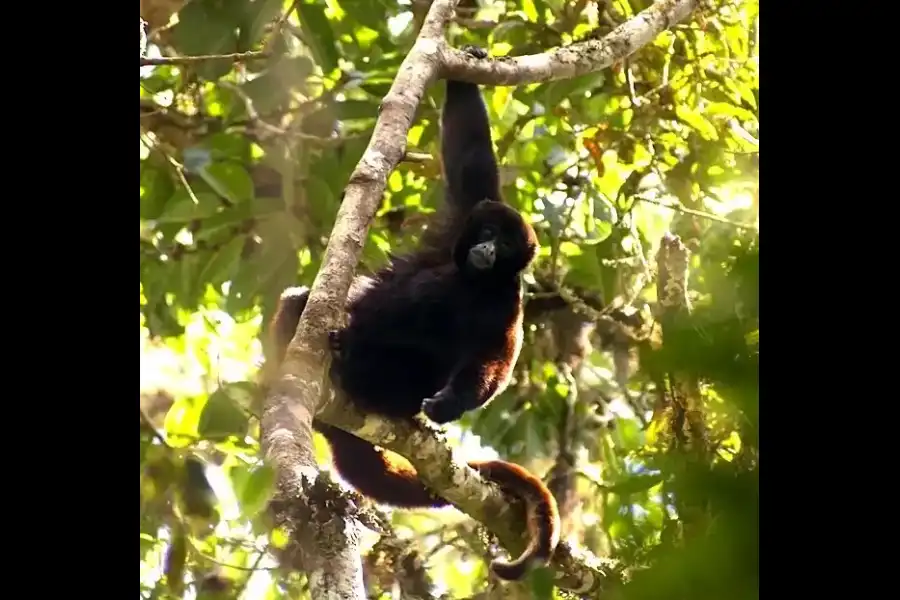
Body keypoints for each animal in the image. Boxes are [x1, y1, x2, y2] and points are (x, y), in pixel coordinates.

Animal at [268, 47, 560, 580]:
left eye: (507, 246)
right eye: (489, 232)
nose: (487, 248)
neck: (473, 279)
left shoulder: (507, 301)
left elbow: (495, 359)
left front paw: (449, 403)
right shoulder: (459, 223)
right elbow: (470, 161)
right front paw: (468, 66)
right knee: (299, 302)